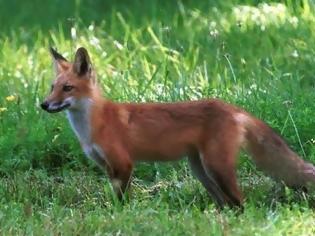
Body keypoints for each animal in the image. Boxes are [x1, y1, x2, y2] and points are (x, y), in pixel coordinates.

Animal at [41, 46, 315, 208]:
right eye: (52, 87)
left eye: (67, 88)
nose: (43, 104)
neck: (93, 125)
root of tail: (231, 107)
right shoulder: (108, 168)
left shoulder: (123, 164)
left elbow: (123, 203)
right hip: (202, 172)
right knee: (227, 204)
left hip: (216, 168)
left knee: (240, 203)